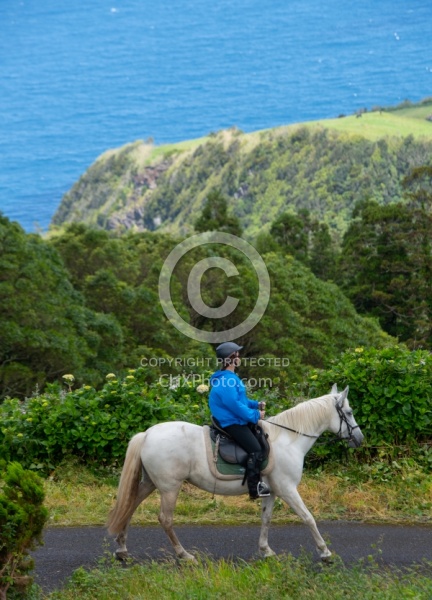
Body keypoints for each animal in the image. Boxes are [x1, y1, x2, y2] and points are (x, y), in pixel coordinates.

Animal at [107, 384, 362, 564]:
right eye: (349, 412)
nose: (359, 439)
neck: (287, 439)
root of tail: (147, 434)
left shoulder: (272, 492)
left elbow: (266, 519)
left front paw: (266, 551)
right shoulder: (288, 489)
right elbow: (308, 517)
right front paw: (325, 552)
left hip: (151, 483)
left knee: (130, 506)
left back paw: (122, 549)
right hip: (170, 487)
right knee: (165, 519)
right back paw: (184, 555)